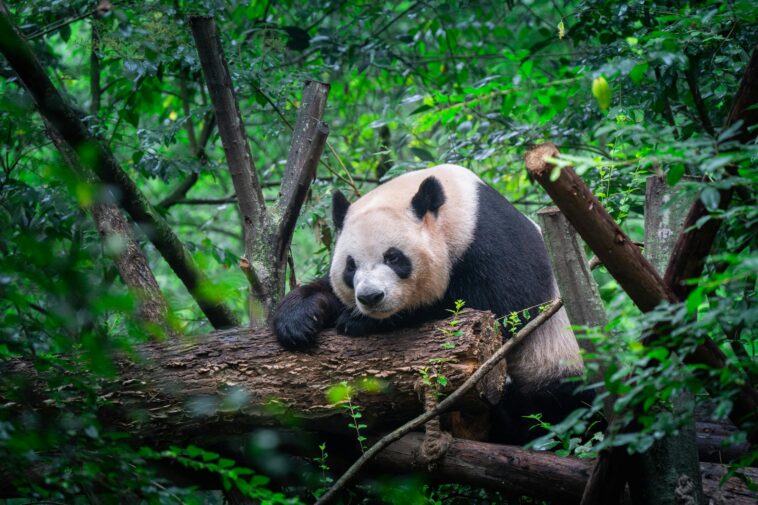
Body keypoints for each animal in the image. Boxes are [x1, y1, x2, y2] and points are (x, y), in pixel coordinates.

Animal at [272, 164, 589, 444]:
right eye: (351, 266)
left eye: (393, 257)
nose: (370, 297)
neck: (453, 210)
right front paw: (298, 320)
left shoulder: (491, 240)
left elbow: (503, 310)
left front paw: (360, 322)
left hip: (554, 363)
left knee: (554, 407)